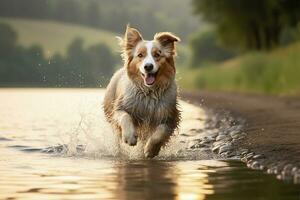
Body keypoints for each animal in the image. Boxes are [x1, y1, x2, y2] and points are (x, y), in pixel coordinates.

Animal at [103, 26, 180, 158]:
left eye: (157, 54)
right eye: (140, 55)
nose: (148, 66)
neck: (149, 91)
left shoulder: (170, 115)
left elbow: (161, 132)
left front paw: (150, 150)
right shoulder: (120, 107)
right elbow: (125, 117)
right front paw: (130, 137)